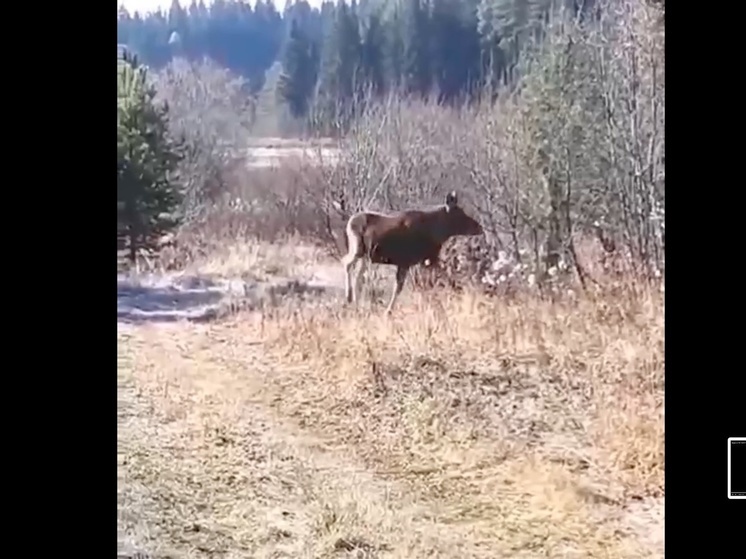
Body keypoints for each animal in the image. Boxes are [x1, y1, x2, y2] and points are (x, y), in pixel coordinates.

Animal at [338, 192, 482, 316]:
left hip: (365, 256)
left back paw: (355, 302)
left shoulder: (425, 260)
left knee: (357, 275)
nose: (479, 227)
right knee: (346, 262)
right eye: (460, 214)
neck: (437, 232)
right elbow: (400, 287)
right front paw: (388, 311)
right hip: (357, 248)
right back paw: (348, 297)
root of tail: (349, 223)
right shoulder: (407, 261)